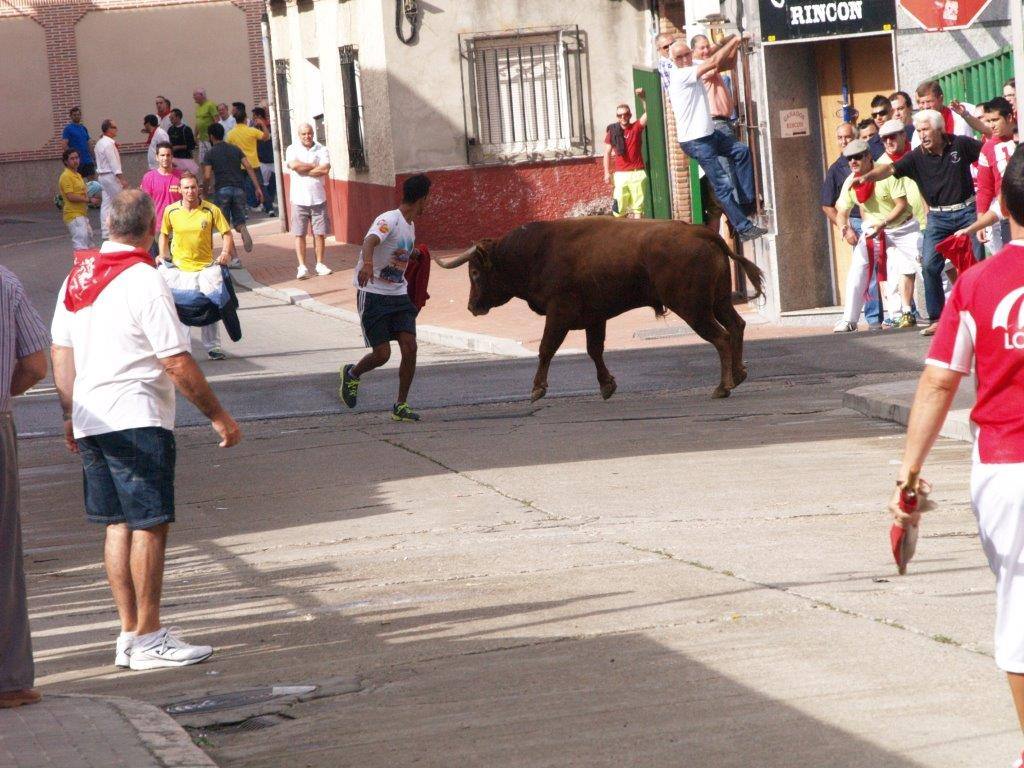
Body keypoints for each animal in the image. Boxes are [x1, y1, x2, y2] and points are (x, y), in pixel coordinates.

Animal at [432, 215, 761, 399]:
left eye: (475, 273)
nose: (472, 306)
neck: (536, 251)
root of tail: (701, 232)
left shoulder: (559, 312)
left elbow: (546, 348)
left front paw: (537, 389)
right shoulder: (595, 317)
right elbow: (595, 350)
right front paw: (607, 386)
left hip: (694, 309)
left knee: (721, 337)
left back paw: (723, 387)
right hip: (718, 302)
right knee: (736, 326)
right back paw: (739, 374)